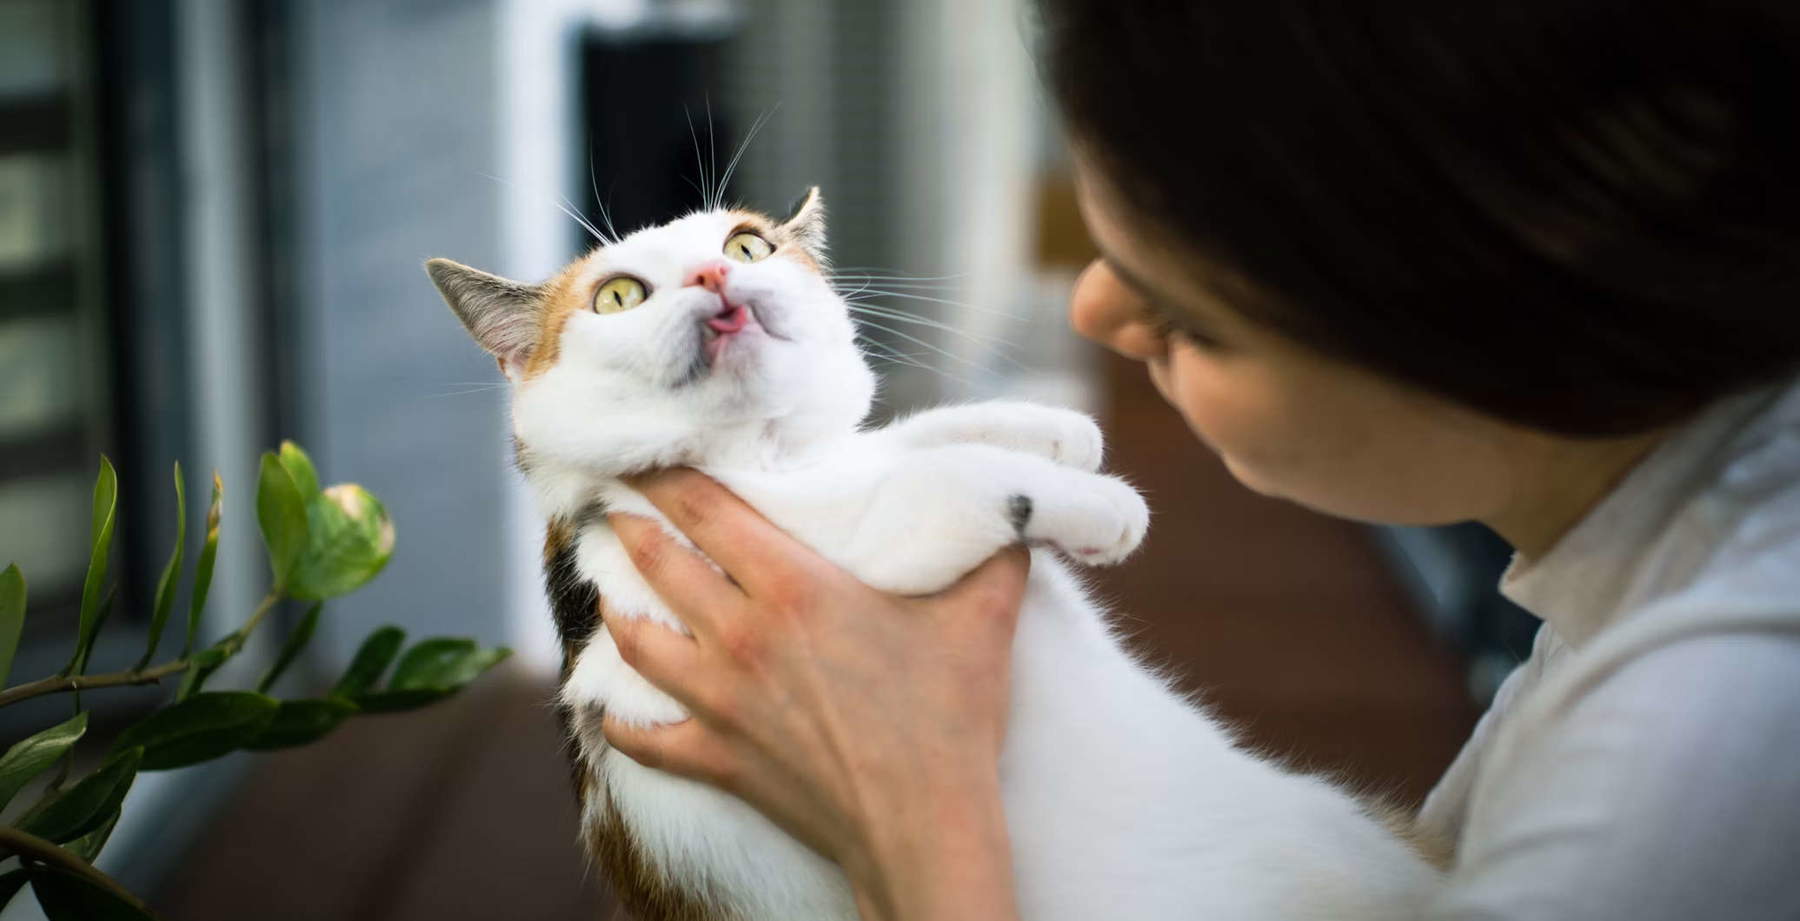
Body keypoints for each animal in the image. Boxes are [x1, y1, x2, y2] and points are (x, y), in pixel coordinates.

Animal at [428, 188, 1440, 921]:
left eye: (751, 245)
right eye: (619, 295)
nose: (717, 270)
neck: (769, 458)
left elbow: (913, 435)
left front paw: (1055, 430)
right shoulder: (674, 596)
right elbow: (920, 480)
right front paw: (1091, 501)